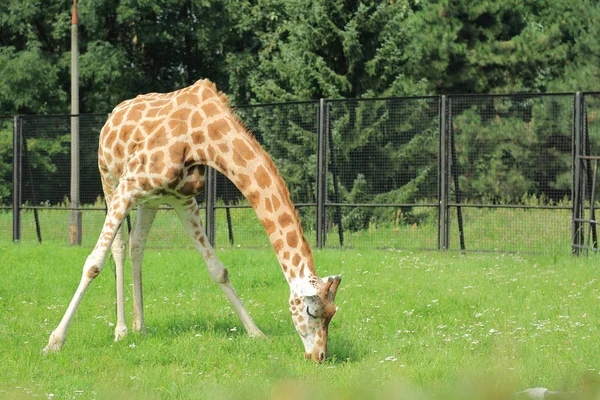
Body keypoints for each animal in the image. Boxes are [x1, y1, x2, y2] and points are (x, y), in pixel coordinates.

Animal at [42, 78, 342, 362]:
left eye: (333, 312)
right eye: (311, 311)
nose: (319, 356)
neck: (203, 136)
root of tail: (113, 114)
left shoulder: (183, 200)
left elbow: (218, 270)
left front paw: (256, 333)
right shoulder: (129, 184)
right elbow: (93, 264)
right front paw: (54, 342)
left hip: (150, 201)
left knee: (136, 244)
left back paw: (140, 327)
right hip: (109, 178)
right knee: (118, 246)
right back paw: (121, 330)